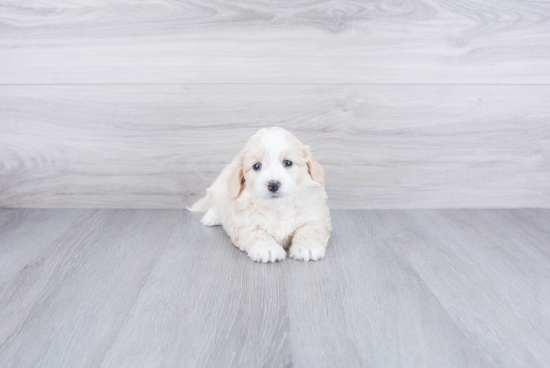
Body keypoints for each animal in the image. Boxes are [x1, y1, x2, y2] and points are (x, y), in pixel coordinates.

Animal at [190, 128, 332, 264]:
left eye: (287, 163)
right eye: (256, 166)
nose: (273, 185)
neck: (277, 207)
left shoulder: (314, 215)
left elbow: (309, 229)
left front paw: (308, 247)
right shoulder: (244, 223)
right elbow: (257, 233)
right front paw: (267, 249)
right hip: (217, 188)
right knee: (214, 205)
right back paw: (211, 217)